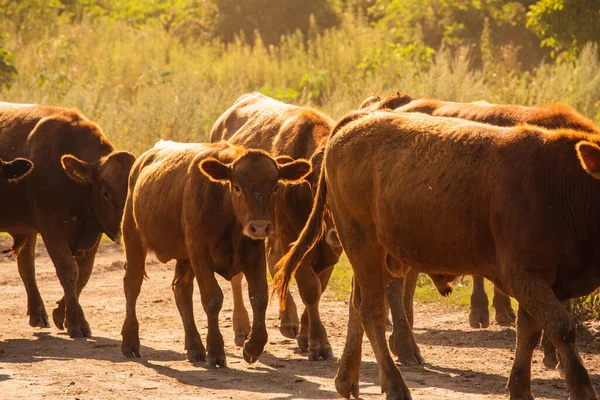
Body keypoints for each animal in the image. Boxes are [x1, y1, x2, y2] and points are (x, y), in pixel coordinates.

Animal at [0, 103, 135, 338]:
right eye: (106, 194)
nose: (125, 231)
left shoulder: (94, 229)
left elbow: (83, 273)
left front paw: (60, 313)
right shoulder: (51, 226)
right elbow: (68, 269)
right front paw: (76, 321)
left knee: (26, 263)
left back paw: (38, 313)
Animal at [120, 139, 312, 368]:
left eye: (275, 187)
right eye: (237, 187)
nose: (259, 227)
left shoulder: (254, 255)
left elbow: (259, 297)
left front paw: (252, 347)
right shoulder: (200, 254)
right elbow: (212, 298)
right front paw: (216, 350)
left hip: (184, 258)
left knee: (181, 290)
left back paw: (194, 347)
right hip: (133, 237)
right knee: (133, 284)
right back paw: (130, 342)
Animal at [210, 92, 342, 360]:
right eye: (319, 186)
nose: (336, 233)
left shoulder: (329, 254)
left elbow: (319, 288)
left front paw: (306, 335)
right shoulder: (292, 239)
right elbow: (310, 288)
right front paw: (319, 343)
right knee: (239, 277)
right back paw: (243, 329)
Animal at [276, 110, 600, 400]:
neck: (561, 184)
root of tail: (356, 121)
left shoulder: (542, 281)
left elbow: (530, 332)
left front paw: (520, 389)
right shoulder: (525, 276)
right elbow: (560, 327)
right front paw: (581, 389)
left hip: (376, 254)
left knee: (358, 306)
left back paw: (346, 380)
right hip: (362, 244)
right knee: (372, 310)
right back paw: (394, 385)